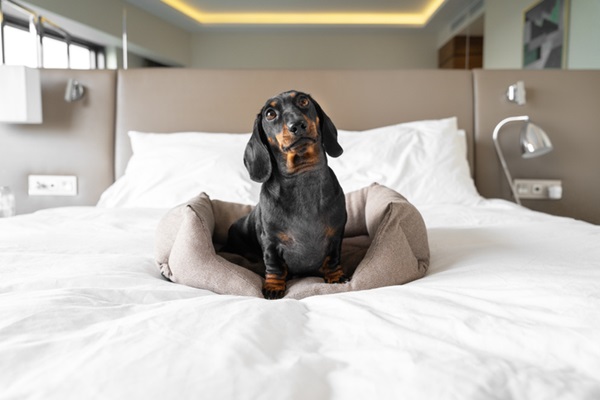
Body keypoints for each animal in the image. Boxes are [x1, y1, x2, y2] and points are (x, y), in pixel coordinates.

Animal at [225, 89, 346, 298]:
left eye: (303, 101)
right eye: (270, 114)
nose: (297, 125)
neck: (302, 177)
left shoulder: (336, 235)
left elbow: (333, 258)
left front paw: (336, 276)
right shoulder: (270, 242)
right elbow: (275, 266)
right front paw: (274, 286)